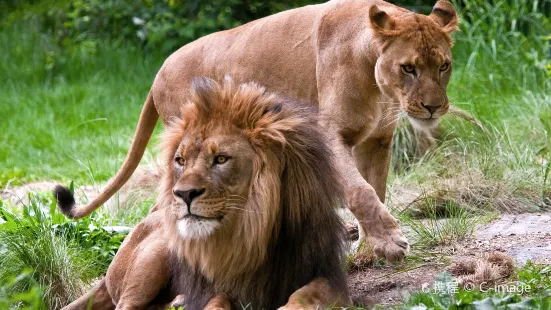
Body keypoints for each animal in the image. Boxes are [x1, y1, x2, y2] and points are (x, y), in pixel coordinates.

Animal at [56, 0, 462, 262]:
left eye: (444, 66)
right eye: (408, 68)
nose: (433, 107)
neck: (377, 81)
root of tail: (158, 73)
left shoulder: (377, 140)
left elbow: (376, 189)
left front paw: (367, 249)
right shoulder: (331, 133)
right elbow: (359, 191)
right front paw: (390, 242)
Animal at [60, 77, 352, 310]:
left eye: (221, 159)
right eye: (180, 161)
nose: (183, 194)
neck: (253, 230)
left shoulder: (328, 276)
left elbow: (304, 295)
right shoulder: (218, 286)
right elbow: (216, 302)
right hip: (155, 252)